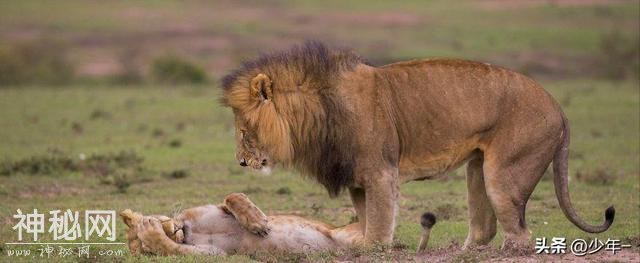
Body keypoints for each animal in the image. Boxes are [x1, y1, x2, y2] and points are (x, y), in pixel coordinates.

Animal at [221, 41, 616, 250]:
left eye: (243, 130)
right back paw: (463, 253)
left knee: (520, 235)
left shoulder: (381, 173)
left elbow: (379, 226)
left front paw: (373, 249)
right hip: (478, 169)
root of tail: (559, 107)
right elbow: (367, 220)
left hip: (505, 174)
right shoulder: (357, 182)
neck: (317, 113)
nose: (240, 163)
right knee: (484, 228)